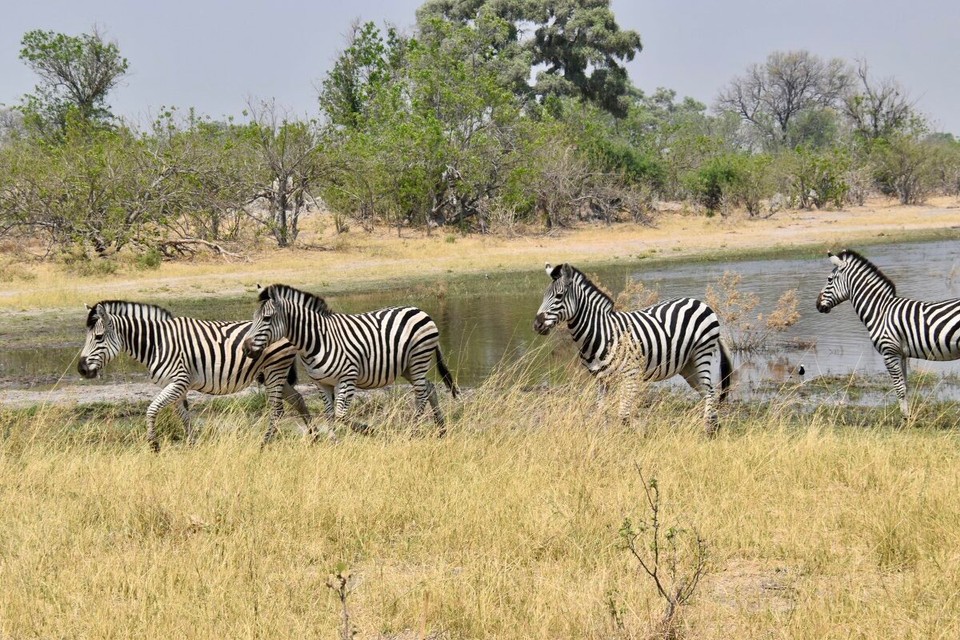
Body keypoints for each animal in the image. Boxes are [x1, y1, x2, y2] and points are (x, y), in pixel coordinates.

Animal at [78, 300, 311, 450]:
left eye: (98, 337)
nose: (81, 369)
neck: (157, 343)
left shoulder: (179, 381)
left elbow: (152, 409)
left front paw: (154, 445)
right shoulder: (175, 386)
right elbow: (183, 416)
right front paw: (192, 445)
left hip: (274, 370)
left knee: (278, 410)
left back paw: (265, 443)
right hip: (275, 374)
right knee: (297, 399)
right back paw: (314, 435)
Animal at [241, 284, 459, 436]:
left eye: (267, 318)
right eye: (254, 317)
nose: (245, 348)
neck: (318, 340)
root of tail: (420, 311)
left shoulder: (347, 378)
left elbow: (341, 416)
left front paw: (371, 431)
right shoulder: (321, 383)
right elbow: (330, 415)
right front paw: (333, 443)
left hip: (418, 360)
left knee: (421, 395)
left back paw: (412, 432)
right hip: (407, 367)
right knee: (429, 388)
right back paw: (441, 430)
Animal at [533, 263, 733, 434]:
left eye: (559, 296)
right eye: (543, 296)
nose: (537, 324)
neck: (602, 332)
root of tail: (699, 302)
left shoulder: (630, 375)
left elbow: (623, 416)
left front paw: (629, 441)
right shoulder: (601, 379)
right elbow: (600, 412)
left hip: (702, 354)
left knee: (710, 392)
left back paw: (709, 431)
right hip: (687, 365)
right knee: (707, 393)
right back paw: (714, 428)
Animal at [816, 249, 960, 421]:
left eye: (829, 279)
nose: (817, 305)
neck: (880, 311)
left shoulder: (889, 353)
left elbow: (899, 388)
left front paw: (905, 419)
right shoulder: (902, 354)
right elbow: (906, 386)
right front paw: (908, 417)